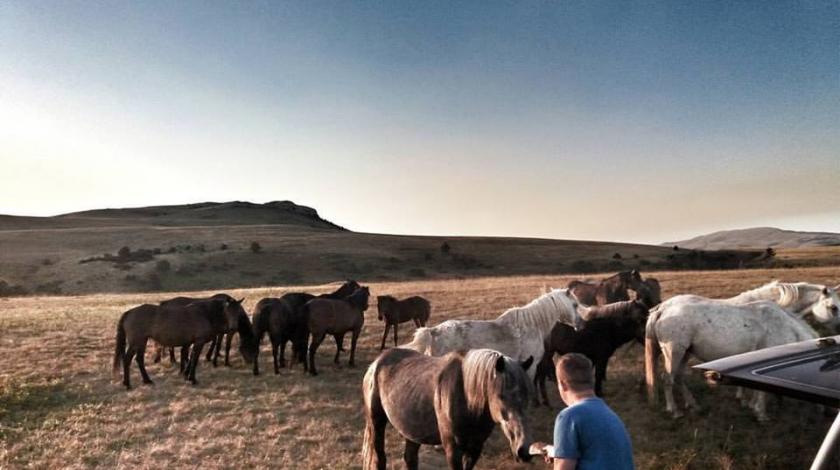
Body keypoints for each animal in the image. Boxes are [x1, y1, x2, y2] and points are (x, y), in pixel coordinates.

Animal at [113, 300, 254, 388]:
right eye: (227, 311)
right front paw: (192, 379)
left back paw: (146, 380)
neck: (206, 313)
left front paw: (186, 375)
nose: (233, 327)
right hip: (136, 341)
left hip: (142, 341)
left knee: (139, 359)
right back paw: (127, 384)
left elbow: (189, 358)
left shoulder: (190, 342)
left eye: (238, 312)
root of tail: (129, 312)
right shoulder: (199, 342)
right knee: (127, 359)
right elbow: (194, 359)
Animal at [360, 346, 532, 468]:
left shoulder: (475, 448)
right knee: (380, 458)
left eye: (526, 396)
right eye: (501, 396)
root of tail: (376, 363)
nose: (523, 450)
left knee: (410, 458)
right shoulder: (452, 449)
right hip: (376, 422)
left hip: (411, 431)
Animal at [648, 300, 816, 424]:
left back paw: (693, 405)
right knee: (668, 379)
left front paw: (752, 405)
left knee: (679, 377)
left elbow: (757, 388)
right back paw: (674, 411)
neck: (785, 327)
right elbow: (762, 391)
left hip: (685, 353)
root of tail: (663, 308)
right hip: (674, 351)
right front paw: (761, 414)